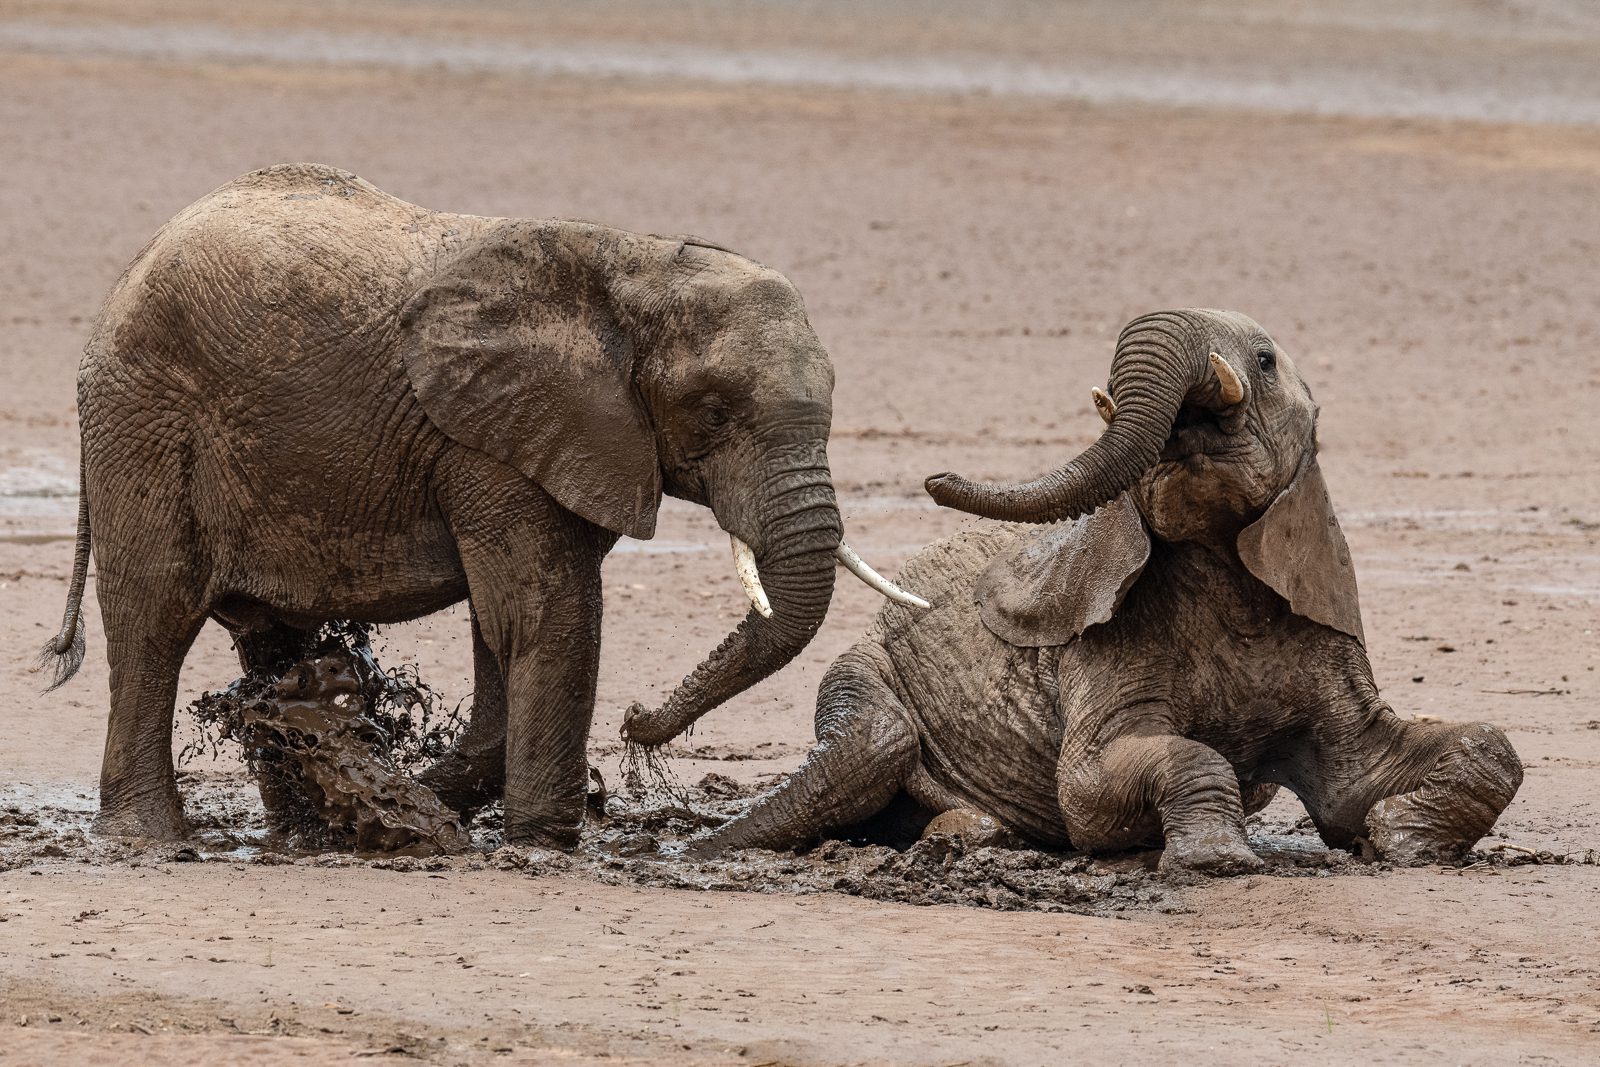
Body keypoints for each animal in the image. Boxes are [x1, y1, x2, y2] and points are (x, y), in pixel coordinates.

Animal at [39, 162, 925, 848]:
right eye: (712, 411)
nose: (637, 717)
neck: (634, 263)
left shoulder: (557, 443)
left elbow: (503, 624)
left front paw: (433, 801)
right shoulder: (494, 438)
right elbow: (545, 614)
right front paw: (539, 842)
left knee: (267, 635)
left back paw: (302, 822)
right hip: (145, 419)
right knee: (154, 619)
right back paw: (152, 837)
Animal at [694, 309, 1523, 873]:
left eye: (1262, 360)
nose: (933, 477)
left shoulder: (1322, 630)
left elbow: (1447, 756)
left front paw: (1397, 840)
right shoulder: (1101, 649)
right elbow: (1097, 788)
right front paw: (1218, 862)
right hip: (866, 674)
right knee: (870, 746)